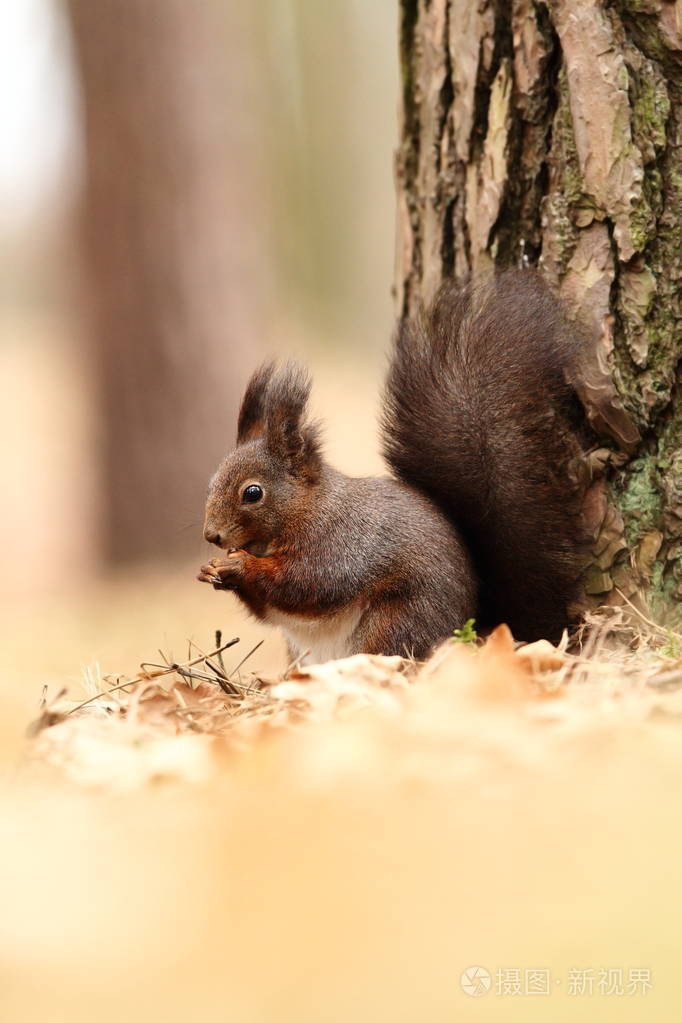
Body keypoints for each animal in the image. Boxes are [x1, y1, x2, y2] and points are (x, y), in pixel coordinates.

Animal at [197, 270, 588, 662]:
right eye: (211, 483)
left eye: (253, 493)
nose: (211, 536)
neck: (308, 508)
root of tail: (475, 623)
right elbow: (269, 608)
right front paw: (211, 570)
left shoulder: (342, 543)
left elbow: (306, 583)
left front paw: (239, 566)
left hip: (397, 619)